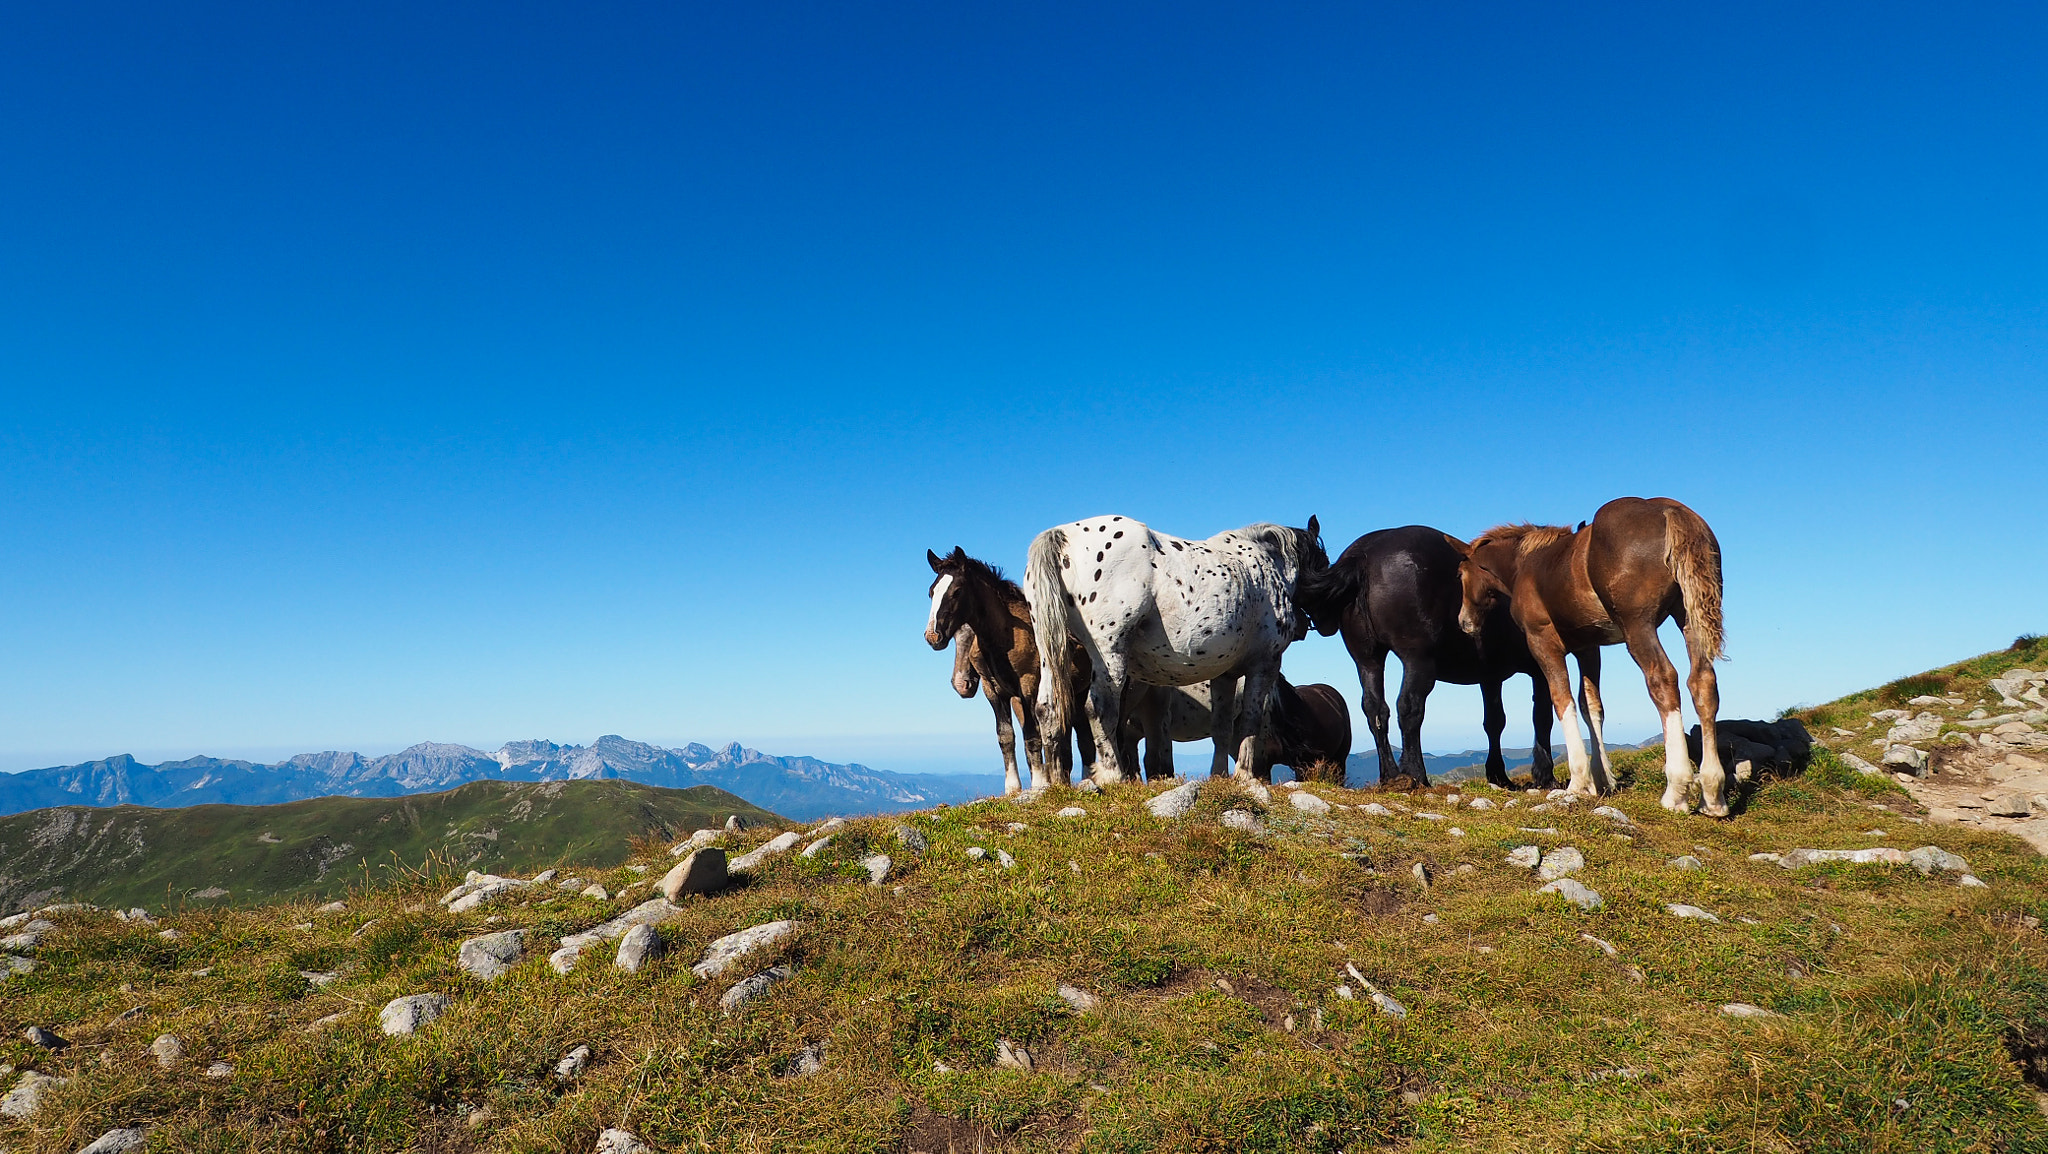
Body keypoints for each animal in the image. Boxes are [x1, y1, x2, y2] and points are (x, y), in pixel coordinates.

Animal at [925, 545, 1097, 791]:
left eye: (956, 591)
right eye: (931, 592)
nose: (933, 636)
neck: (1004, 635)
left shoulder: (1028, 687)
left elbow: (1032, 737)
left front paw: (1039, 783)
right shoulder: (993, 691)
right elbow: (1005, 737)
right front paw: (1013, 787)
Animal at [1024, 514, 1327, 787]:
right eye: (1323, 564)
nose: (1321, 624)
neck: (1262, 566)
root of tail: (1063, 535)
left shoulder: (1225, 675)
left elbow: (1221, 729)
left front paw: (1220, 776)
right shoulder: (1264, 664)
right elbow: (1249, 723)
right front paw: (1244, 775)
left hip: (1052, 651)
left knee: (1047, 708)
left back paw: (1054, 783)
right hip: (1109, 652)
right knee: (1099, 707)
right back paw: (1113, 775)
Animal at [1302, 524, 1556, 791]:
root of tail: (1363, 555)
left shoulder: (1490, 677)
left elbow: (1494, 721)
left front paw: (1498, 775)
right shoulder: (1539, 667)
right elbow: (1542, 716)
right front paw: (1545, 776)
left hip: (1367, 660)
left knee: (1375, 709)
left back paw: (1391, 775)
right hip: (1417, 661)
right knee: (1409, 708)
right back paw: (1416, 774)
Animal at [1441, 502, 1728, 815]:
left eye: (1459, 574)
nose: (1464, 622)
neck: (1526, 565)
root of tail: (1670, 511)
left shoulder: (1543, 641)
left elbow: (1562, 700)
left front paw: (1579, 782)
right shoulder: (1588, 648)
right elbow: (1591, 705)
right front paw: (1602, 781)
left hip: (1638, 626)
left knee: (1663, 679)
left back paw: (1676, 790)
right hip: (1688, 618)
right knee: (1702, 683)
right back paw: (1713, 795)